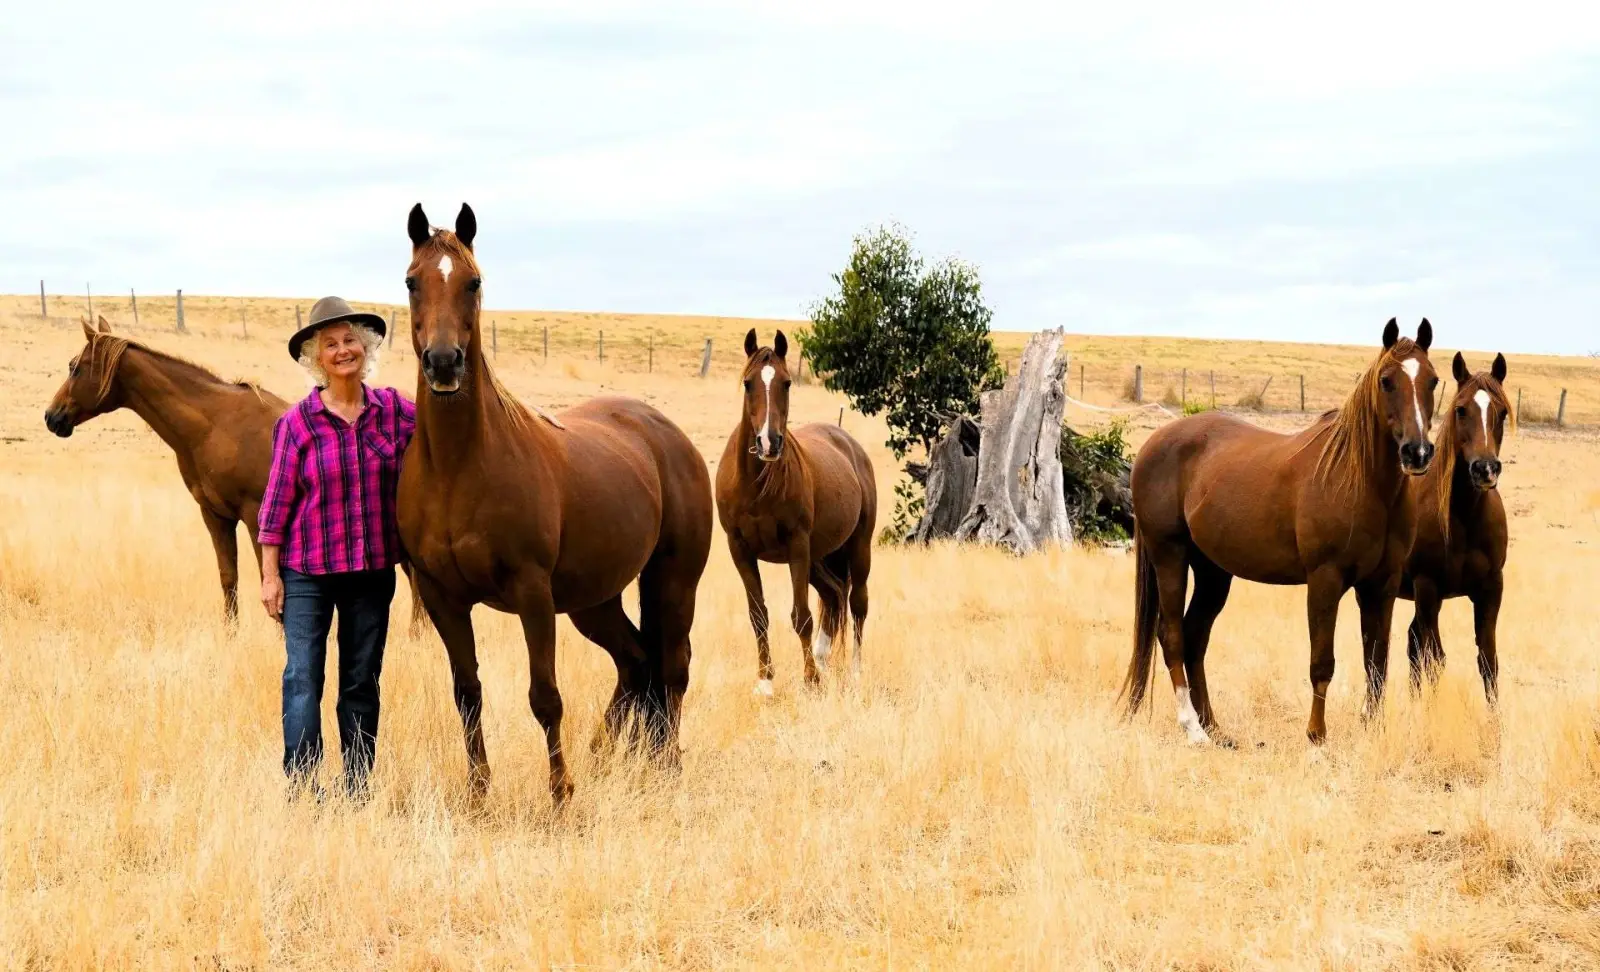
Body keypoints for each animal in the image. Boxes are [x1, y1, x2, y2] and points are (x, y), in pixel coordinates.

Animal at [43, 315, 429, 630]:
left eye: (75, 367)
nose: (52, 417)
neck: (213, 425)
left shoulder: (258, 518)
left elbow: (270, 583)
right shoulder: (215, 515)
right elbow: (228, 578)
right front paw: (231, 635)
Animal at [397, 202, 713, 805]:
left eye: (473, 281)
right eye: (411, 282)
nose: (445, 363)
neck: (458, 467)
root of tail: (666, 434)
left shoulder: (532, 593)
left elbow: (545, 696)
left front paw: (561, 794)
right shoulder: (443, 597)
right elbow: (467, 694)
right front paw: (479, 795)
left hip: (674, 581)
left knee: (673, 667)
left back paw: (665, 766)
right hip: (595, 599)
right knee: (636, 662)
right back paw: (608, 756)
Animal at [715, 330, 877, 694]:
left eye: (787, 383)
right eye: (748, 383)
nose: (768, 442)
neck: (756, 484)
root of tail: (851, 446)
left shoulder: (797, 545)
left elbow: (801, 615)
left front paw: (810, 681)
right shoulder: (739, 549)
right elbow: (758, 614)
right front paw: (765, 682)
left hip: (856, 547)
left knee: (857, 604)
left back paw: (854, 674)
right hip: (819, 557)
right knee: (833, 596)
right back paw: (822, 660)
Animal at [1123, 318, 1439, 745]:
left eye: (1433, 380)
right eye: (1387, 381)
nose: (1417, 453)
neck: (1361, 481)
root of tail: (1152, 444)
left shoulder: (1381, 584)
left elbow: (1377, 661)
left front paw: (1370, 733)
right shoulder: (1325, 580)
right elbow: (1322, 662)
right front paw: (1316, 736)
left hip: (1213, 572)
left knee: (1194, 637)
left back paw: (1215, 728)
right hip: (1169, 555)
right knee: (1171, 635)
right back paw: (1194, 729)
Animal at [1398, 352, 1510, 706]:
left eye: (1503, 412)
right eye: (1461, 409)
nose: (1485, 469)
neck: (1465, 518)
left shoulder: (1491, 588)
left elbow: (1488, 661)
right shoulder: (1428, 587)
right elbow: (1436, 658)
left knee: (1412, 643)